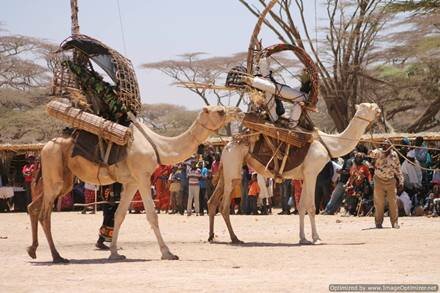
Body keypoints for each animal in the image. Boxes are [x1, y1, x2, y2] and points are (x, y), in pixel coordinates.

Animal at [26, 105, 244, 262]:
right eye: (220, 111)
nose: (238, 111)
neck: (159, 146)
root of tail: (44, 147)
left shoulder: (131, 182)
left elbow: (120, 215)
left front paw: (115, 253)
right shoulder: (143, 176)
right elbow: (152, 215)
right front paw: (168, 253)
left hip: (63, 180)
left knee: (33, 207)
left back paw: (33, 250)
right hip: (54, 170)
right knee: (45, 213)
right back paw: (57, 256)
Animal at [208, 102, 380, 244]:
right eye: (369, 106)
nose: (378, 109)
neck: (329, 144)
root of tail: (227, 146)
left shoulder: (303, 177)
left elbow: (302, 206)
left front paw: (303, 238)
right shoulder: (311, 173)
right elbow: (310, 206)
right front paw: (316, 238)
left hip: (226, 170)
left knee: (212, 201)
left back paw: (211, 236)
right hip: (233, 168)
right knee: (223, 206)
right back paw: (234, 238)